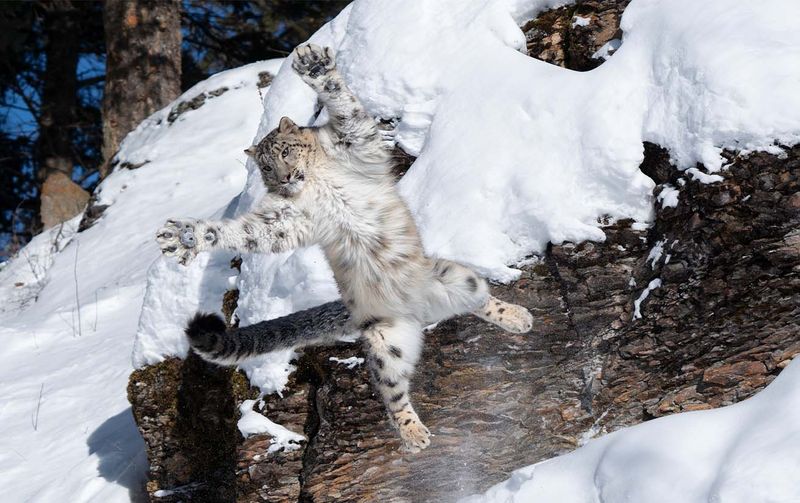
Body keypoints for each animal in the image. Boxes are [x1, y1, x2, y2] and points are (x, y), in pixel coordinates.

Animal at [155, 44, 532, 452]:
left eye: (285, 151)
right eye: (266, 168)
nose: (285, 178)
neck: (314, 181)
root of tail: (416, 308)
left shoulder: (356, 141)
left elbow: (346, 107)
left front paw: (315, 66)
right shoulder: (287, 220)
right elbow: (249, 233)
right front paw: (187, 236)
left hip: (456, 277)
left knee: (481, 300)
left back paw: (517, 317)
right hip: (386, 342)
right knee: (390, 389)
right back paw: (413, 435)